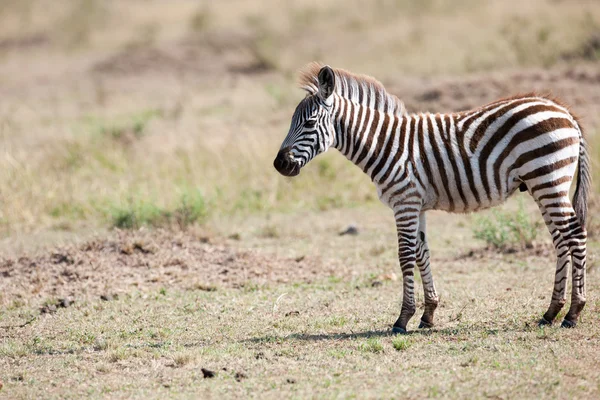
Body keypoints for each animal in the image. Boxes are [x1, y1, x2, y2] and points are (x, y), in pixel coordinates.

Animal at [274, 62, 592, 332]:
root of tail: (565, 112)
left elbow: (404, 256)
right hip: (545, 185)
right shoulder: (417, 205)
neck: (383, 144)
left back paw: (573, 312)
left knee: (575, 235)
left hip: (548, 180)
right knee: (561, 240)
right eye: (291, 121)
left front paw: (403, 318)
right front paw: (428, 314)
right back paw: (551, 312)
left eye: (310, 123)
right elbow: (421, 253)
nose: (279, 164)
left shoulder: (404, 202)